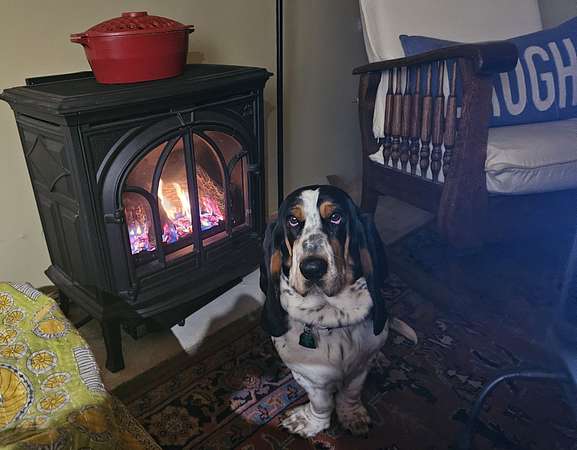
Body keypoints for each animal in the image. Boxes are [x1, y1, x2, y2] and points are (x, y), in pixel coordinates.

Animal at [260, 185, 417, 438]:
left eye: (336, 217)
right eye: (293, 220)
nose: (312, 268)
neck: (331, 319)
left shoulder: (360, 369)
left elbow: (350, 393)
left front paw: (352, 416)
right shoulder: (309, 377)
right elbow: (321, 403)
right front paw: (309, 423)